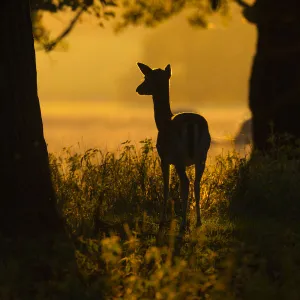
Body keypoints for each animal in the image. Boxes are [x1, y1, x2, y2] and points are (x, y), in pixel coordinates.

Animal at [136, 62, 211, 233]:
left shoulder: (164, 158)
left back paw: (183, 224)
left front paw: (162, 220)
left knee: (186, 183)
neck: (162, 123)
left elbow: (166, 187)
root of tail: (192, 125)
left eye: (146, 77)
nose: (138, 89)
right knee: (197, 183)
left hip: (179, 158)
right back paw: (198, 221)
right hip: (202, 156)